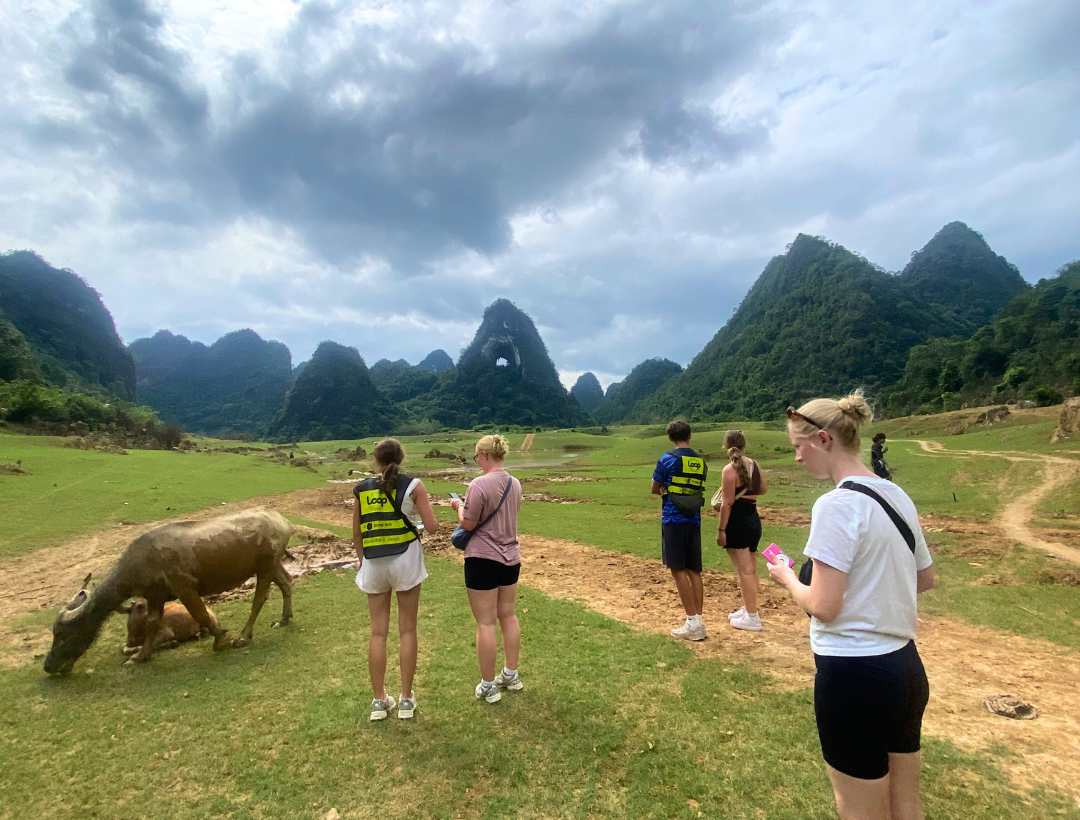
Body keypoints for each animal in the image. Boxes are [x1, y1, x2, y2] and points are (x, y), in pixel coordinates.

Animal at [44, 507, 293, 675]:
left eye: (63, 635)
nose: (48, 666)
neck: (142, 562)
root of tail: (282, 521)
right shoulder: (154, 597)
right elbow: (153, 623)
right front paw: (140, 655)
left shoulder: (186, 589)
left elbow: (201, 615)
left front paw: (220, 640)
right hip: (272, 565)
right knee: (287, 582)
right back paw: (284, 619)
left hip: (265, 566)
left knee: (260, 596)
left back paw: (243, 637)